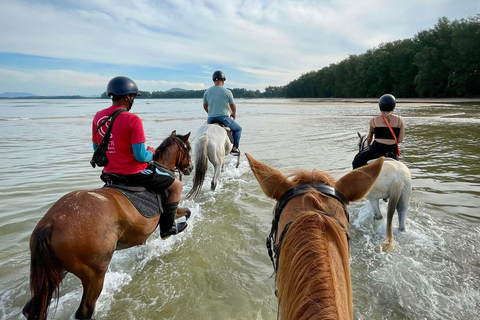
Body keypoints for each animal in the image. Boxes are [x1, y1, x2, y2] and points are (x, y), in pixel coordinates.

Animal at [22, 131, 191, 320]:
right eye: (188, 149)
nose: (191, 167)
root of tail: (49, 224)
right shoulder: (172, 210)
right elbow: (185, 212)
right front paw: (176, 228)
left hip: (56, 271)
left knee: (32, 307)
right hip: (94, 275)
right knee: (85, 310)